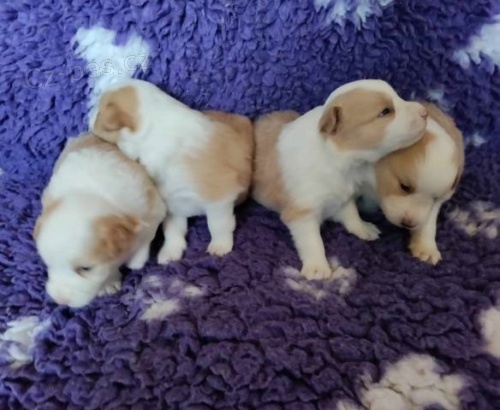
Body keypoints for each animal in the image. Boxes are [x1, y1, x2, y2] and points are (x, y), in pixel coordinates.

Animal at [34, 134, 166, 308]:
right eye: (48, 263)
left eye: (86, 268)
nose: (59, 300)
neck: (91, 194)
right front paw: (108, 283)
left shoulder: (153, 208)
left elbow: (147, 235)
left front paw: (137, 259)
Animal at [91, 79, 254, 263]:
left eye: (99, 112)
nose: (89, 114)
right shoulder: (173, 205)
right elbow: (173, 231)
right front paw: (170, 252)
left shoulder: (219, 197)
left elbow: (218, 224)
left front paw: (220, 246)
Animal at [252, 80, 428, 280]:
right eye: (385, 112)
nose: (425, 112)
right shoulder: (302, 212)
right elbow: (312, 240)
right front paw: (317, 267)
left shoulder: (343, 195)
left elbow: (352, 214)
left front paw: (363, 228)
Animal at [370, 102, 464, 264]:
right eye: (404, 187)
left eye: (435, 198)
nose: (408, 223)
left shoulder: (440, 200)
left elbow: (428, 222)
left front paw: (426, 248)